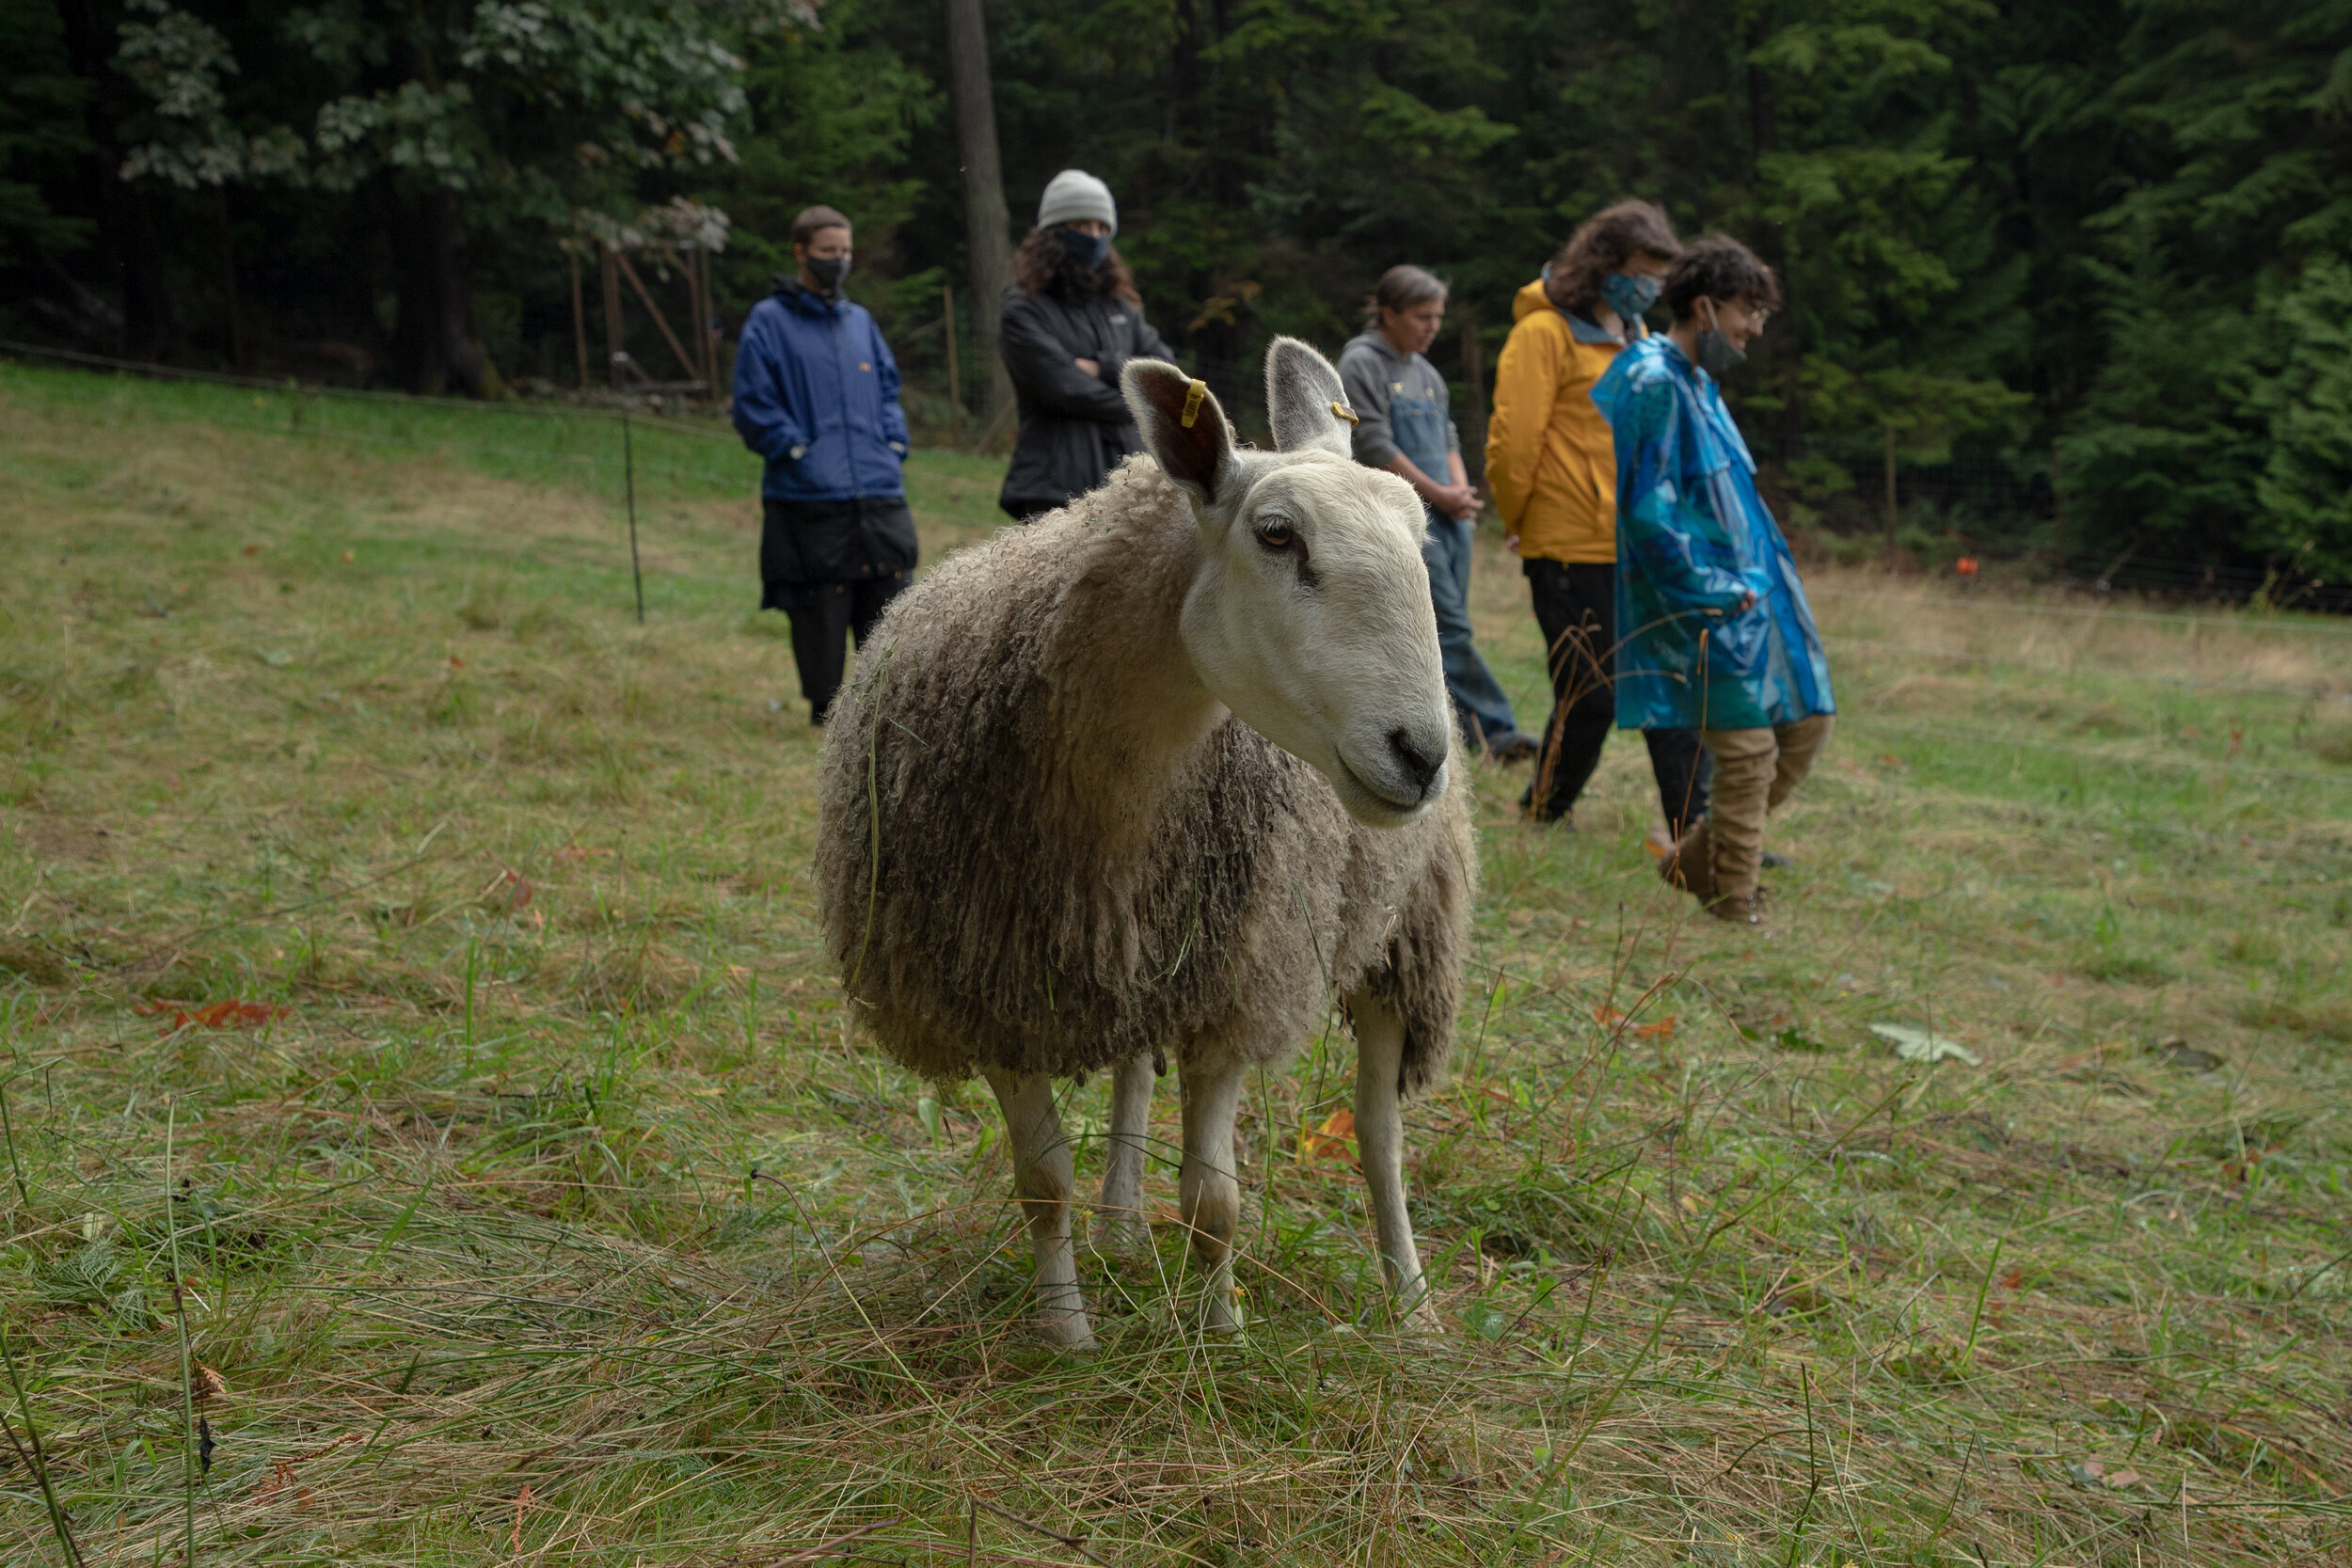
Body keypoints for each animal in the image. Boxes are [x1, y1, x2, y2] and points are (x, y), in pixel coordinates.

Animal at [809, 342, 1468, 1354]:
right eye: (1277, 535)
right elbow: (1044, 1182)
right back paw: (1120, 1231)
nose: (1421, 755)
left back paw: (1414, 1303)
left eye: (1420, 536)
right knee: (1131, 1068)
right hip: (1140, 951)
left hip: (1407, 932)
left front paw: (1221, 1334)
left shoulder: (1238, 979)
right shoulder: (990, 986)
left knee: (1378, 1132)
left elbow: (1215, 1200)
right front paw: (1070, 1336)